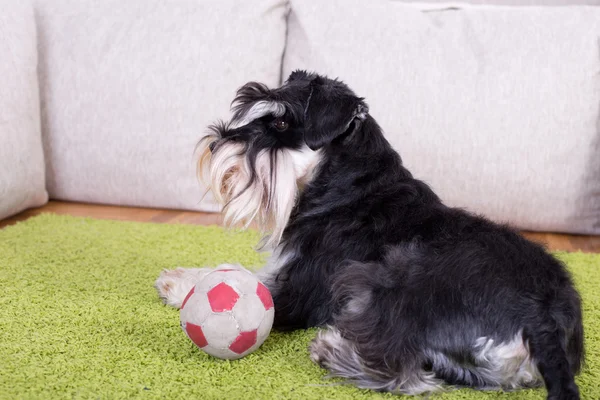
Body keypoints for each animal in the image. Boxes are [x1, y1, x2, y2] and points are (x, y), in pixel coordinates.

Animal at [157, 70, 584, 398]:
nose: (215, 144)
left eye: (279, 123)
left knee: (407, 374)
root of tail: (544, 315)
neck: (348, 190)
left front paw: (181, 288)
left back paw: (332, 350)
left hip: (383, 277)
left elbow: (254, 285)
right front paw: (184, 278)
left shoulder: (301, 290)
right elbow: (236, 272)